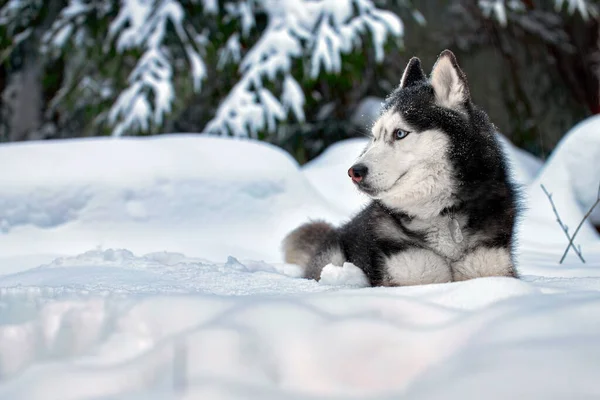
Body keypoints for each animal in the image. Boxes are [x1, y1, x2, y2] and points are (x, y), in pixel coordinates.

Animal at [284, 50, 516, 286]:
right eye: (375, 137)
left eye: (400, 133)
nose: (354, 172)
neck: (442, 213)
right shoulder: (410, 273)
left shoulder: (491, 268)